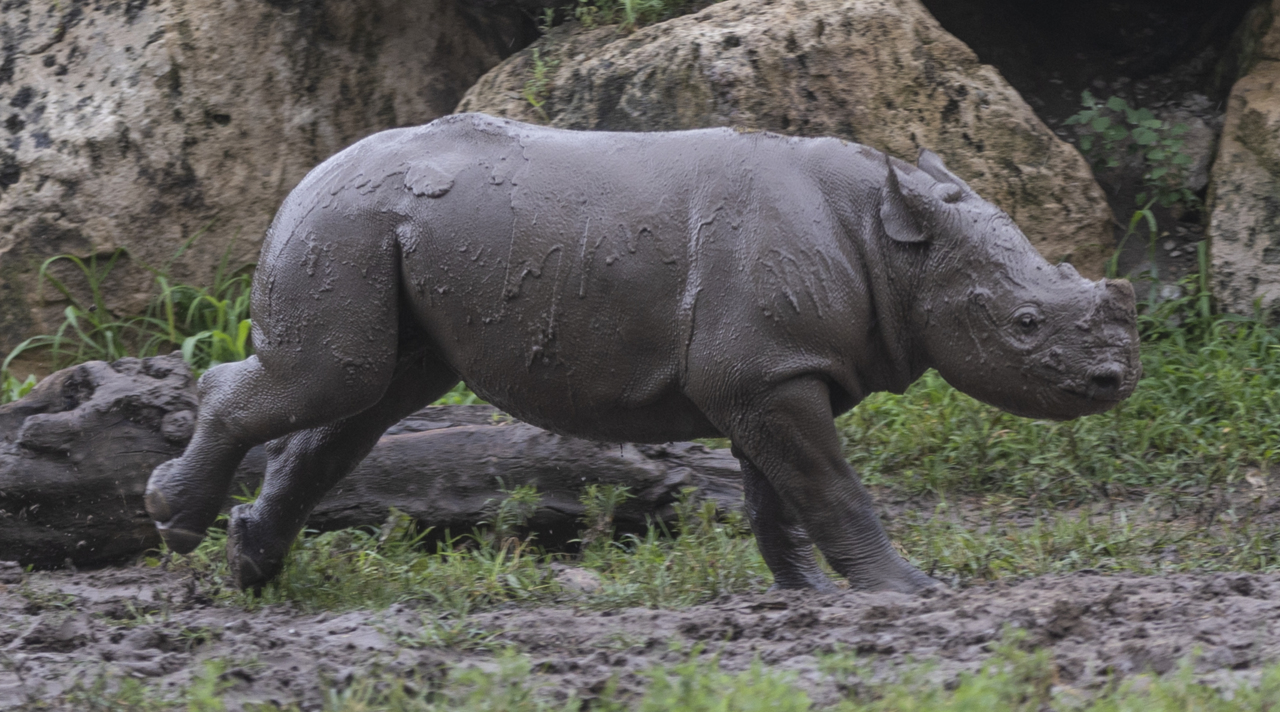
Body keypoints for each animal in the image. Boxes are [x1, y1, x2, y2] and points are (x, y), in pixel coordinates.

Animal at [145, 113, 1140, 593]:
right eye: (1024, 324)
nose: (1114, 381)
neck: (895, 246)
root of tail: (305, 174)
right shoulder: (769, 373)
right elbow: (830, 484)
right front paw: (905, 591)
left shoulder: (767, 370)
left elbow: (779, 493)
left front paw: (805, 596)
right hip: (345, 222)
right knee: (338, 381)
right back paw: (174, 519)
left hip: (379, 229)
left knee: (366, 403)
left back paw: (248, 568)